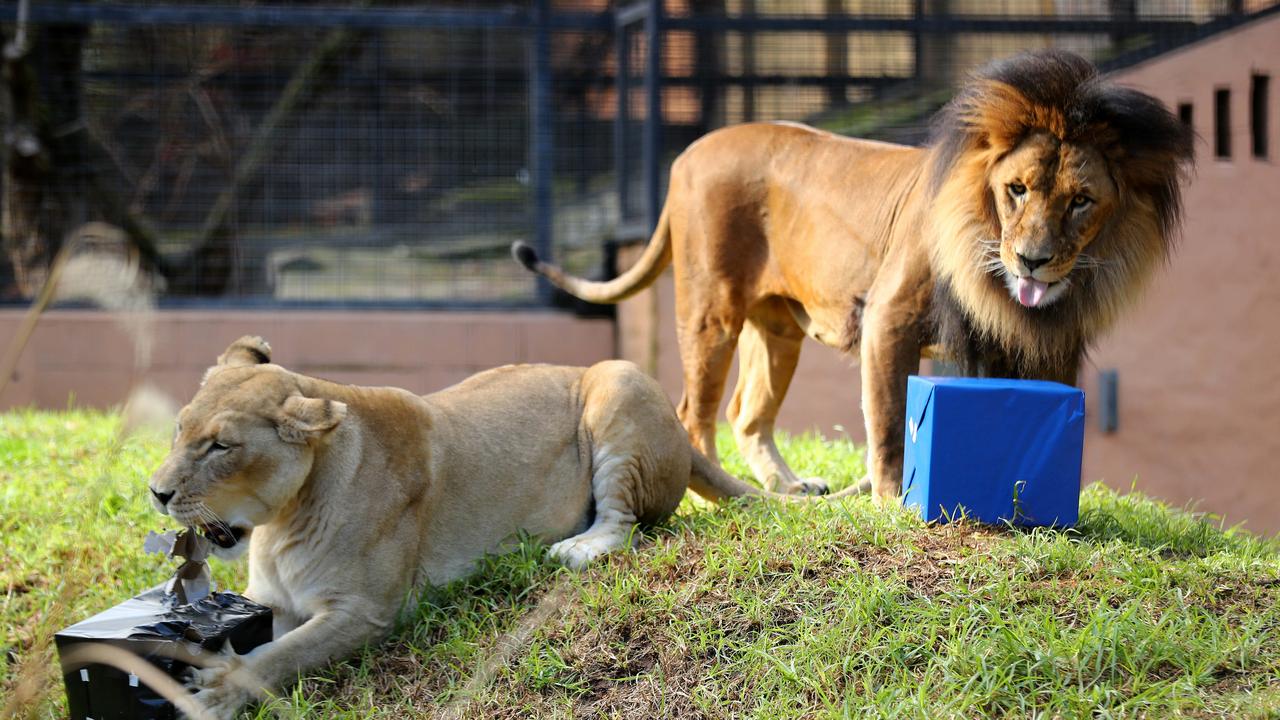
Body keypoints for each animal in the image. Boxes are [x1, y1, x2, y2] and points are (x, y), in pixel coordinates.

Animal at [149, 335, 788, 717]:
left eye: (221, 446)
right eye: (179, 429)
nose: (157, 493)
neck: (282, 523)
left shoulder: (369, 611)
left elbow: (282, 657)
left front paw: (219, 689)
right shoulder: (270, 601)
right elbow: (271, 639)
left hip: (619, 383)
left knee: (623, 524)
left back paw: (573, 550)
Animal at [514, 49, 1192, 504]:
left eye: (1081, 201)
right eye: (1017, 189)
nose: (1032, 258)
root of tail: (686, 153)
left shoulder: (1044, 345)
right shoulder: (889, 317)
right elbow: (889, 420)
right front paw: (892, 499)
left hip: (778, 330)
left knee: (747, 414)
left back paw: (789, 487)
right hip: (711, 311)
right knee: (695, 415)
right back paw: (721, 489)